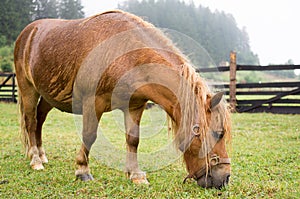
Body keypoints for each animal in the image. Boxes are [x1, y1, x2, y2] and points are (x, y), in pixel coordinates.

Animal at [13, 10, 230, 188]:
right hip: (28, 89)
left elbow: (133, 139)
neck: (126, 55)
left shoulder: (134, 106)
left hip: (48, 96)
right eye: (218, 134)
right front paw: (82, 170)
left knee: (40, 120)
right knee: (31, 122)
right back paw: (35, 160)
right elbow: (89, 136)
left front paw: (136, 175)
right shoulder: (93, 102)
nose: (225, 178)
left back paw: (42, 155)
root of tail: (29, 32)